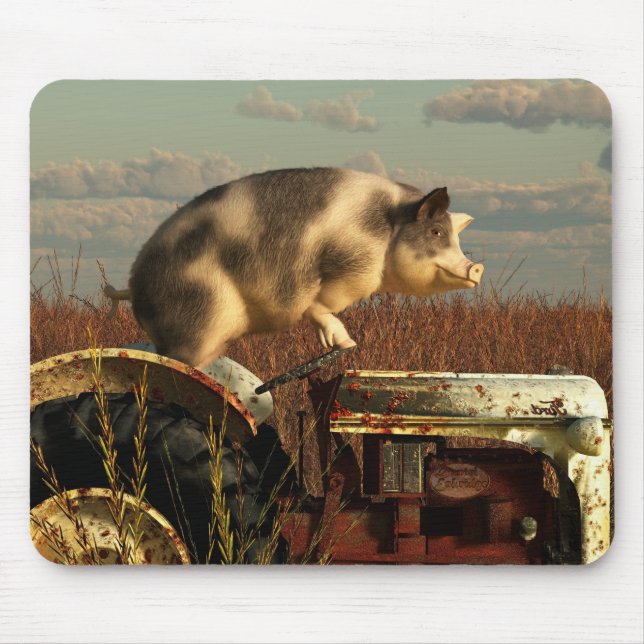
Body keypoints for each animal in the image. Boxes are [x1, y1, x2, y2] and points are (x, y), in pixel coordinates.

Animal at [105, 168, 483, 368]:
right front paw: (343, 341)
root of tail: (132, 285)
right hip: (195, 316)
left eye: (455, 236)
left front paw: (344, 344)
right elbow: (321, 305)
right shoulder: (350, 263)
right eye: (435, 232)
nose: (476, 267)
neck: (388, 227)